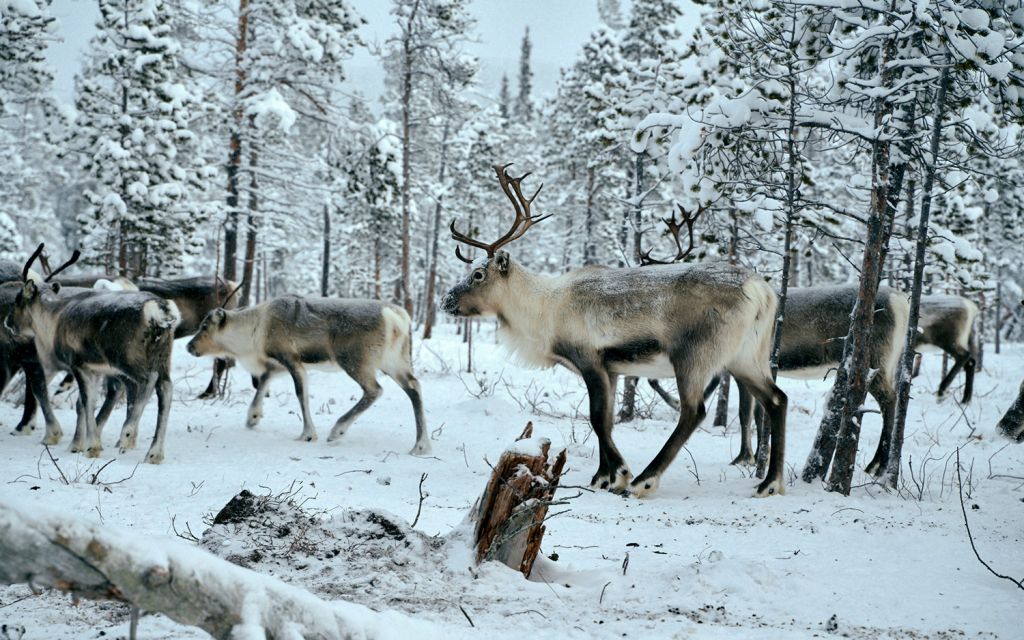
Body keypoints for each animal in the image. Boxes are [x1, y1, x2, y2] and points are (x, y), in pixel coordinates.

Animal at [4, 246, 180, 462]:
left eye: (18, 299)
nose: (7, 322)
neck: (52, 320)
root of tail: (161, 310)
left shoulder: (77, 363)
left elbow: (86, 401)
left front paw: (91, 446)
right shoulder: (95, 369)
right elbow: (84, 403)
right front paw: (81, 443)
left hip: (128, 358)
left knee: (148, 380)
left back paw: (127, 433)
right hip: (163, 357)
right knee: (166, 388)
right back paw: (154, 453)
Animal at [186, 294, 430, 454]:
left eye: (205, 326)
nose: (189, 346)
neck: (254, 331)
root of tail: (398, 318)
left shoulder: (290, 358)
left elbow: (300, 393)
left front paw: (307, 434)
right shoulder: (281, 362)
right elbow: (264, 380)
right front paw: (252, 417)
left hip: (355, 361)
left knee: (375, 390)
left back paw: (337, 430)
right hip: (395, 361)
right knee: (414, 387)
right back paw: (421, 445)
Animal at [441, 164, 788, 497]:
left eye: (478, 274)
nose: (446, 300)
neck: (543, 311)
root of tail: (762, 291)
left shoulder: (590, 359)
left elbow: (596, 418)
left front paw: (620, 474)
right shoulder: (613, 369)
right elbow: (606, 421)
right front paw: (602, 476)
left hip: (694, 355)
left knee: (694, 411)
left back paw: (645, 480)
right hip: (746, 358)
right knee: (777, 399)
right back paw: (770, 483)